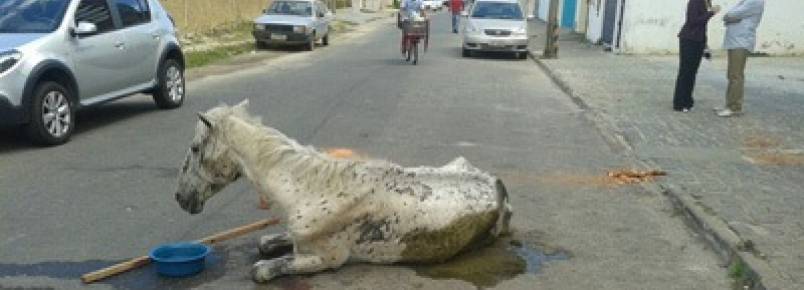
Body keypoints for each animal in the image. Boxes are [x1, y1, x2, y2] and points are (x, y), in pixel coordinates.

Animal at [176, 101, 516, 282]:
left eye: (194, 148)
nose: (181, 198)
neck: (309, 186)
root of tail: (499, 187)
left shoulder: (328, 258)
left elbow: (262, 269)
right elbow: (267, 242)